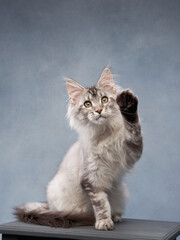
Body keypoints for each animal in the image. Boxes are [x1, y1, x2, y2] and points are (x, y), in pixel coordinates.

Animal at [14, 67, 143, 231]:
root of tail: (48, 206)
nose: (99, 110)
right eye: (87, 104)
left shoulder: (132, 151)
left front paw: (127, 103)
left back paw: (116, 216)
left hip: (121, 191)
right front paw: (103, 222)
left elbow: (133, 128)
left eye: (104, 100)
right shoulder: (91, 178)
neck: (103, 135)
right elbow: (101, 204)